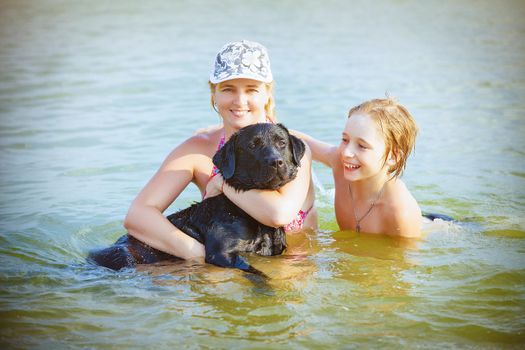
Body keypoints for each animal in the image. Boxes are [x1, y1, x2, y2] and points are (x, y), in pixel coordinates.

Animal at [88, 123, 304, 276]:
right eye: (253, 145)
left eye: (282, 143)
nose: (276, 161)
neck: (245, 211)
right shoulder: (220, 253)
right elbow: (255, 271)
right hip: (123, 255)